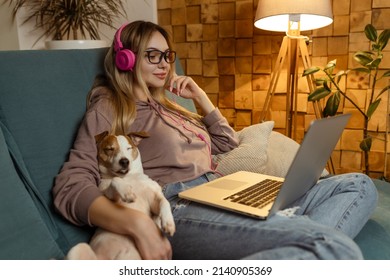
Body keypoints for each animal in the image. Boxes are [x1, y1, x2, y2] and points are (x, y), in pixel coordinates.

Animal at [66, 131, 175, 260]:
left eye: (129, 148)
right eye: (110, 149)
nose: (124, 161)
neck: (128, 177)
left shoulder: (153, 200)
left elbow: (165, 202)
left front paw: (168, 222)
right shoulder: (108, 195)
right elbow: (115, 180)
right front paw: (126, 191)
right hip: (78, 249)